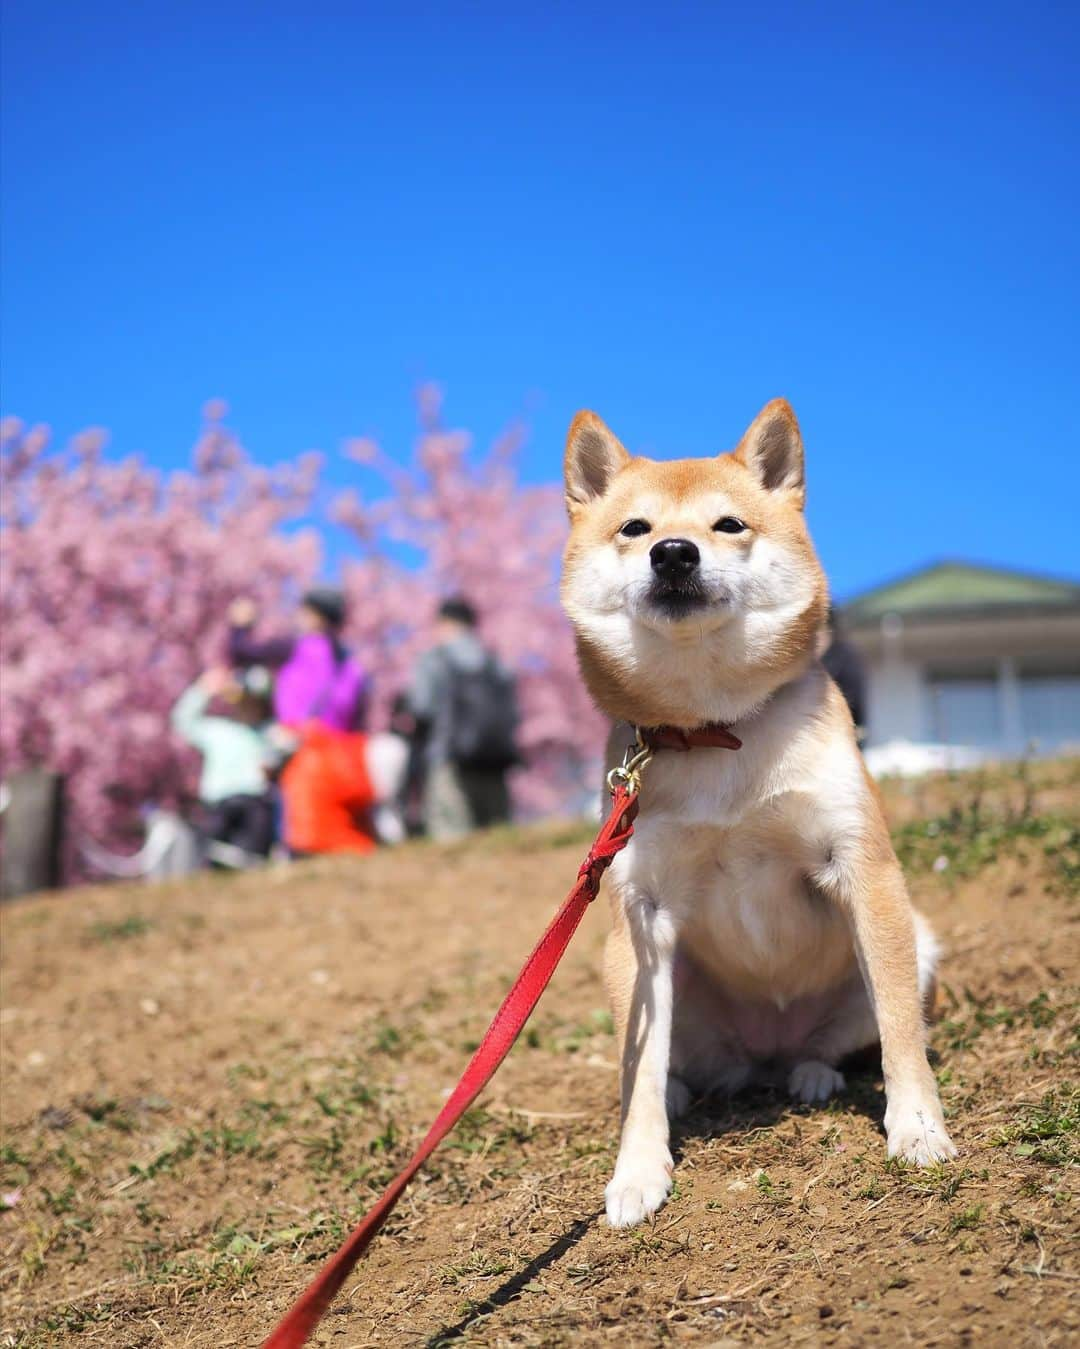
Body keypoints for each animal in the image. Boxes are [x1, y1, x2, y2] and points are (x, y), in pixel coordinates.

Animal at [560, 396, 954, 1224]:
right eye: (635, 528)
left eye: (729, 524)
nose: (674, 553)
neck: (715, 729)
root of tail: (763, 1053)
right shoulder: (640, 911)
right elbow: (637, 1074)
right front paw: (637, 1169)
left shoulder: (863, 871)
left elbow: (900, 1029)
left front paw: (917, 1127)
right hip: (651, 979)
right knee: (661, 1063)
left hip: (918, 943)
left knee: (841, 1037)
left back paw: (813, 1072)